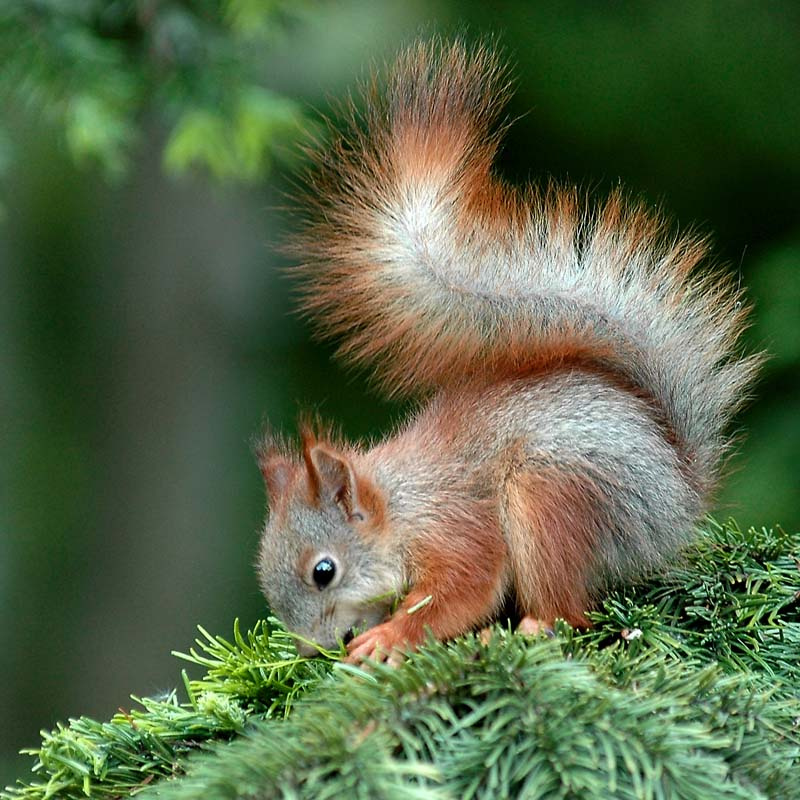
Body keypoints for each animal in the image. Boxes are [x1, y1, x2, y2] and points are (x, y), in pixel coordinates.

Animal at [255, 39, 761, 664]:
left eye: (323, 571)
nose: (315, 652)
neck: (401, 506)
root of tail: (680, 503)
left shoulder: (457, 525)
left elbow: (466, 587)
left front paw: (387, 638)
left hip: (550, 498)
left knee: (572, 615)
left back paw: (527, 628)